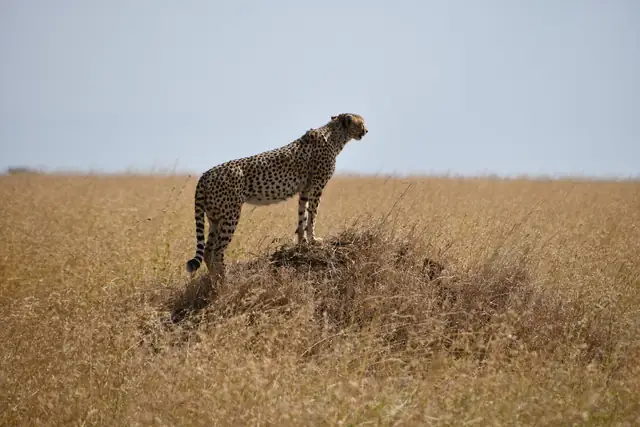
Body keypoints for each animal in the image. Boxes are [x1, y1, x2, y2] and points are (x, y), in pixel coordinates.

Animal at [185, 113, 368, 282]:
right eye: (361, 123)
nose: (366, 131)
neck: (334, 134)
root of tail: (205, 175)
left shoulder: (305, 190)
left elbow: (302, 216)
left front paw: (302, 243)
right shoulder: (317, 186)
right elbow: (312, 215)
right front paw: (314, 239)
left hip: (214, 217)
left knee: (208, 251)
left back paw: (214, 282)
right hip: (230, 215)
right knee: (217, 251)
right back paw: (225, 280)